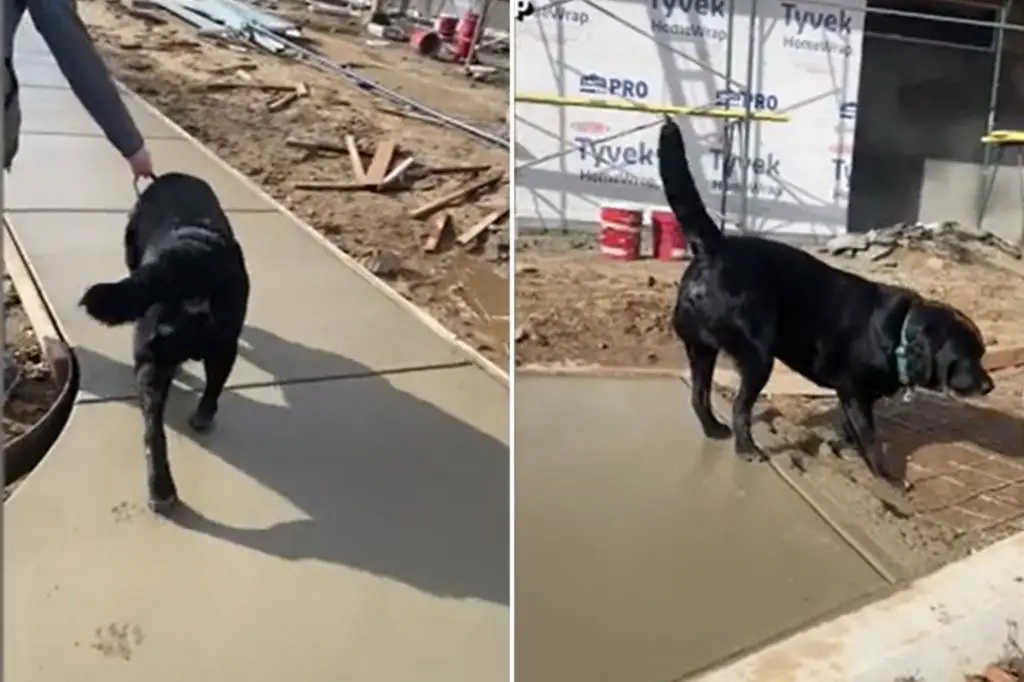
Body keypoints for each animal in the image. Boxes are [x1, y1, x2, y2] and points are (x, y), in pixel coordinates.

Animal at [77, 173, 249, 512]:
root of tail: (188, 256)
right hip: (213, 348)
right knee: (201, 395)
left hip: (156, 358)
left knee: (152, 431)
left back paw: (161, 489)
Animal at [655, 115, 991, 483]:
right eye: (968, 355)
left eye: (982, 353)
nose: (989, 385)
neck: (900, 333)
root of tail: (716, 247)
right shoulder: (856, 393)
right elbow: (870, 437)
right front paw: (886, 476)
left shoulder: (851, 396)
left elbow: (851, 430)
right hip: (758, 358)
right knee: (740, 407)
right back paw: (747, 448)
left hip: (701, 349)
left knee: (699, 397)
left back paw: (714, 429)